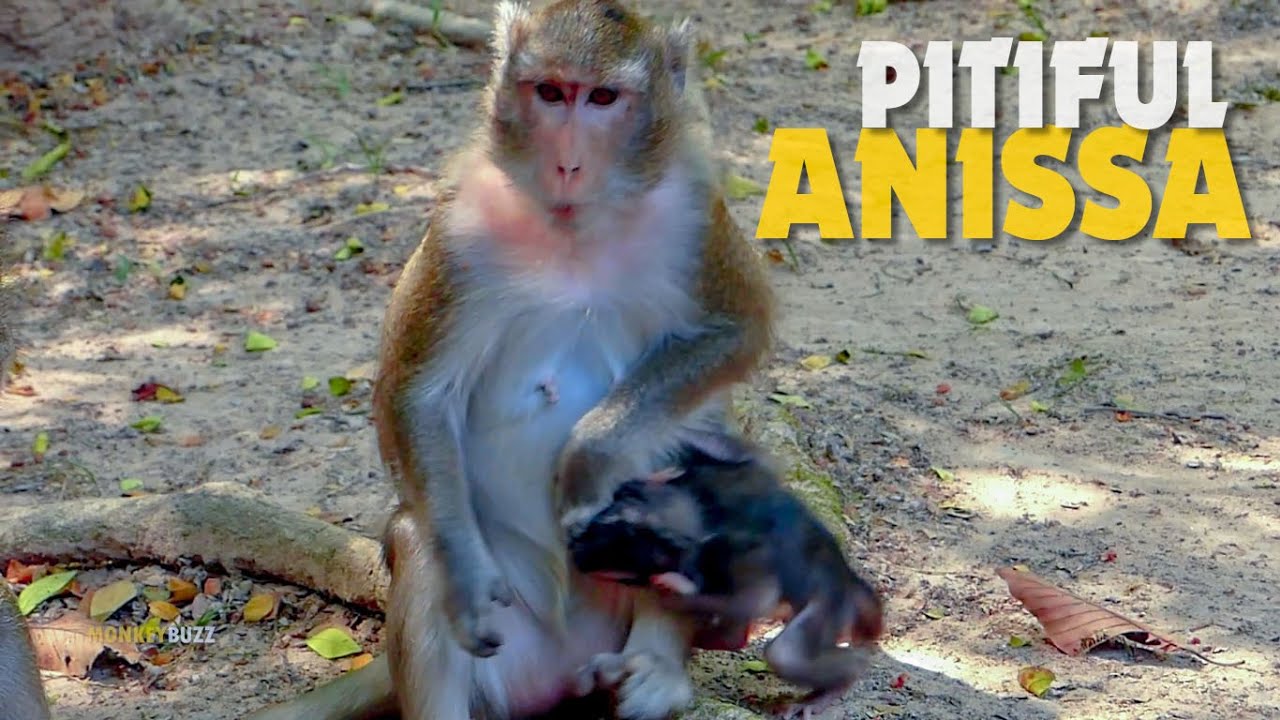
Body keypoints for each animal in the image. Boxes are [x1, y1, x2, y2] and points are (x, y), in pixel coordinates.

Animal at [248, 1, 776, 718]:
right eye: (550, 92)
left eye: (602, 98)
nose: (568, 164)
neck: (575, 228)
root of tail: (567, 662)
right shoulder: (459, 229)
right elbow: (418, 392)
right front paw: (469, 578)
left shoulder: (696, 213)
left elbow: (737, 329)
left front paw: (591, 451)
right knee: (418, 541)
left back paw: (659, 667)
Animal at [567, 431, 884, 720]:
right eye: (608, 512)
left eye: (618, 567)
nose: (576, 546)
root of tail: (848, 578)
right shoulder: (726, 474)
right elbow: (733, 451)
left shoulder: (739, 552)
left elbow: (757, 597)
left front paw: (676, 589)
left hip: (829, 602)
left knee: (787, 653)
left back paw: (839, 681)